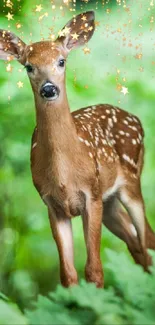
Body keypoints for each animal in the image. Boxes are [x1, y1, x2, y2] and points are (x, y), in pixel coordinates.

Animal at [0, 10, 155, 286]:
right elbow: (68, 274)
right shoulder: (52, 204)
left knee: (146, 239)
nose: (49, 88)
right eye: (29, 66)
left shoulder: (91, 195)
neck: (64, 173)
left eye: (61, 61)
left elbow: (94, 270)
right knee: (138, 244)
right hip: (110, 202)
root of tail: (135, 118)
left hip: (131, 182)